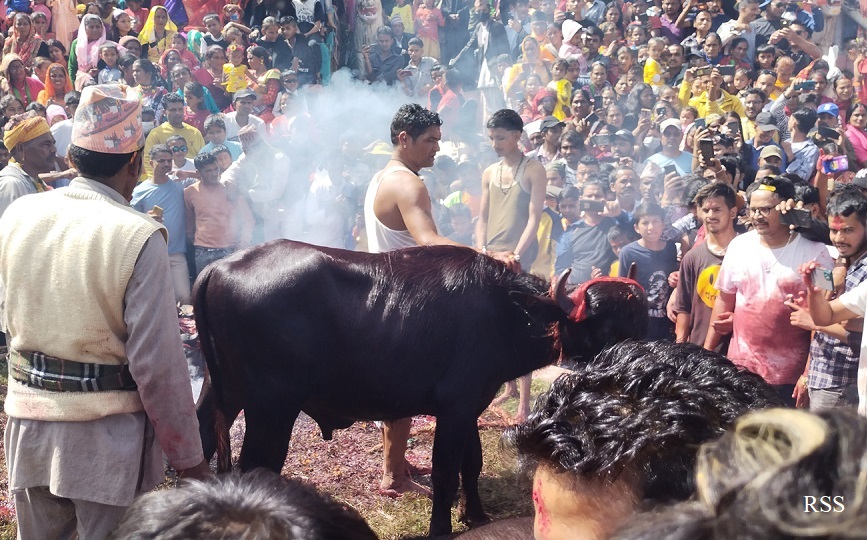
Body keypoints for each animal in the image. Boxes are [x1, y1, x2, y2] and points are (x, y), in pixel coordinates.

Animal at [195, 242, 644, 536]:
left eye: (639, 317)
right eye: (604, 325)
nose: (635, 365)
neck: (506, 310)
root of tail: (221, 267)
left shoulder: (469, 407)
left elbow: (471, 464)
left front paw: (475, 515)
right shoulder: (455, 407)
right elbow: (445, 473)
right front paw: (441, 528)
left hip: (222, 395)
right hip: (272, 407)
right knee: (255, 468)